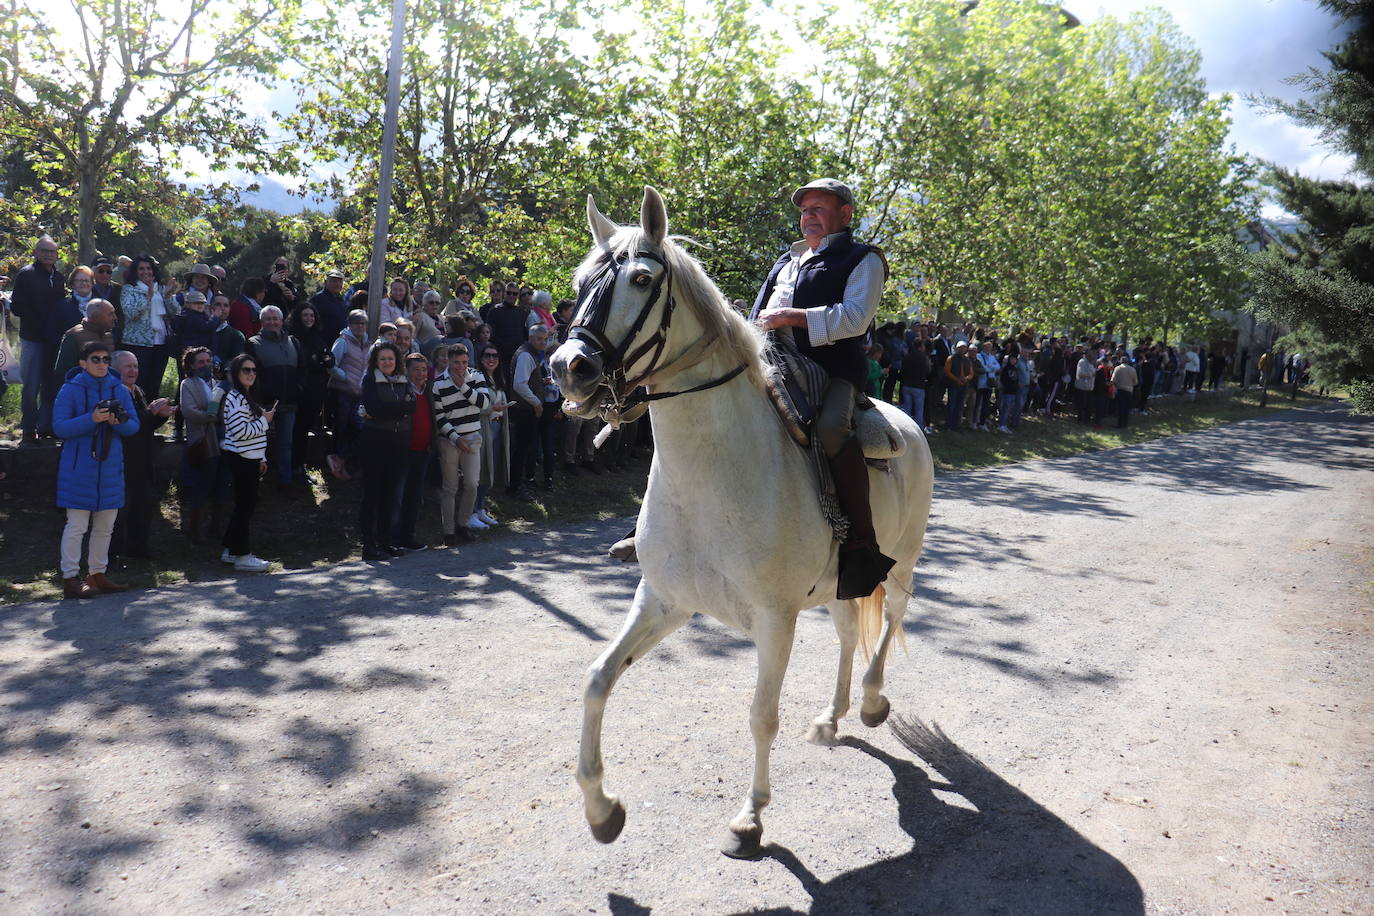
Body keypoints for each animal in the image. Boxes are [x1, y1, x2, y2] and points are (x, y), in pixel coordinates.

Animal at [546, 188, 934, 862]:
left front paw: (749, 820)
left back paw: (870, 702)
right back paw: (830, 718)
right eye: (579, 282)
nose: (570, 367)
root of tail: (905, 421)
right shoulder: (665, 601)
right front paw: (602, 809)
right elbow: (598, 680)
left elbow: (761, 715)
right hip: (840, 585)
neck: (711, 476)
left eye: (642, 279)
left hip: (903, 560)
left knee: (892, 617)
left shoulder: (774, 621)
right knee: (845, 634)